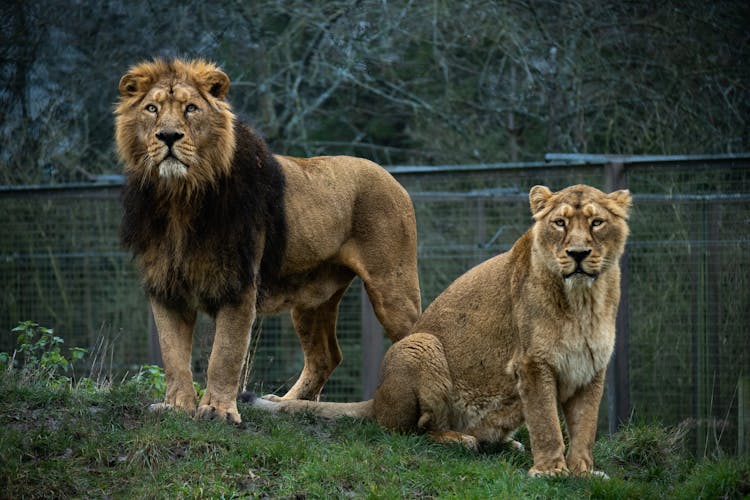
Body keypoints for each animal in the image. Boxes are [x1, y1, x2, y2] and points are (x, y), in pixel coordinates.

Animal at [117, 59, 424, 426]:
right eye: (152, 109)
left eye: (191, 108)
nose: (168, 136)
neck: (180, 198)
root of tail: (391, 177)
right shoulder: (165, 287)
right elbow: (173, 355)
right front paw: (177, 407)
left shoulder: (238, 284)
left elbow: (224, 354)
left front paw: (218, 411)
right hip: (312, 297)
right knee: (326, 355)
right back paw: (285, 403)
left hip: (391, 287)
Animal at [251, 185, 636, 476]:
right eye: (559, 223)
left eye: (597, 223)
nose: (578, 253)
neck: (584, 301)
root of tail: (378, 398)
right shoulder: (532, 364)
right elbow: (546, 422)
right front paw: (551, 471)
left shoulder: (591, 367)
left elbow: (585, 426)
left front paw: (584, 473)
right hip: (422, 345)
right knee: (413, 431)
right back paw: (462, 440)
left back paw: (503, 442)